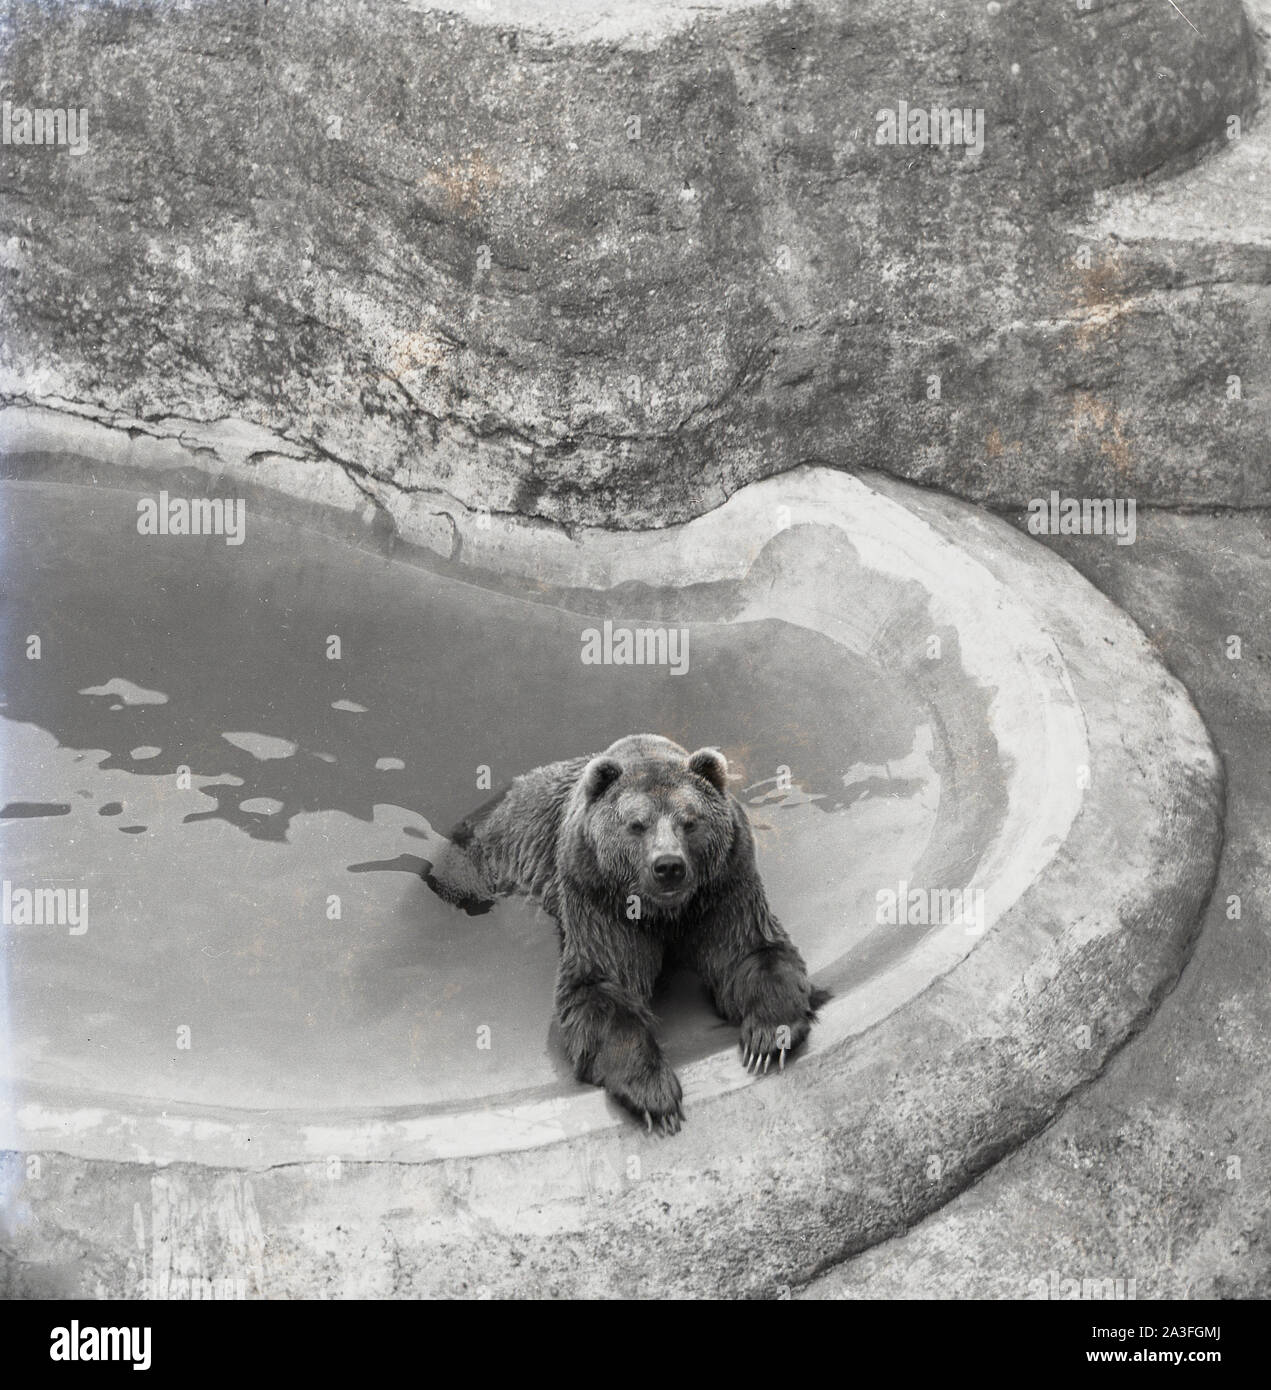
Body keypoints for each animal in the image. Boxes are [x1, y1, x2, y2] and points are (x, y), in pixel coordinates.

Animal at [419, 733, 828, 1134]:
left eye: (689, 821)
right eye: (637, 824)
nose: (668, 866)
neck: (664, 913)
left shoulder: (723, 885)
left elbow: (749, 950)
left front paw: (766, 1039)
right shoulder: (599, 899)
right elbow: (602, 988)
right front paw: (655, 1095)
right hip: (478, 865)